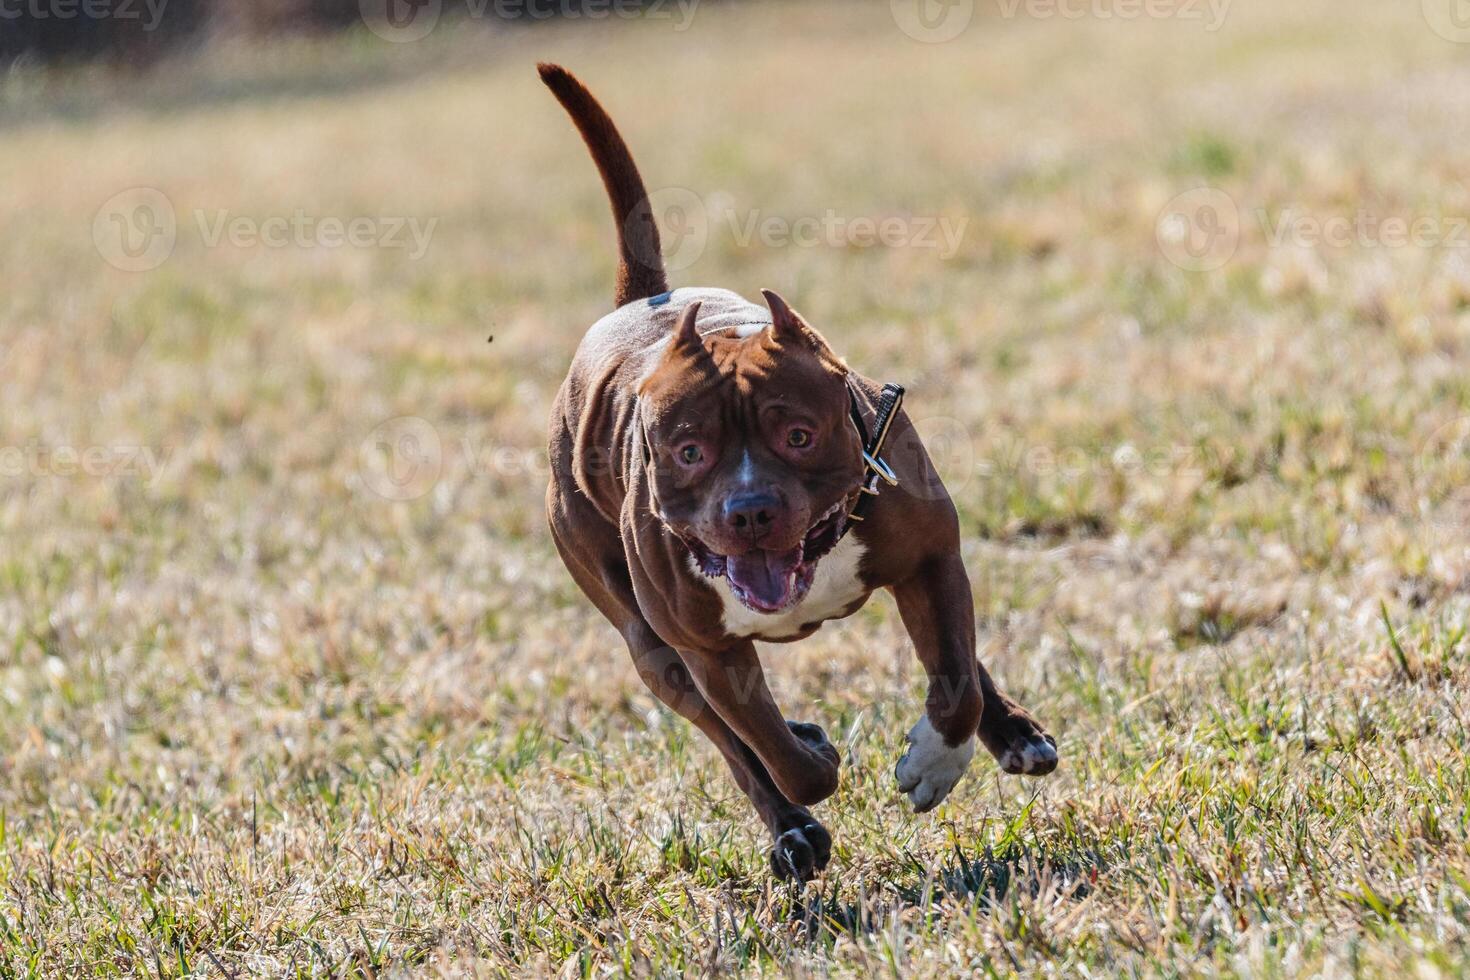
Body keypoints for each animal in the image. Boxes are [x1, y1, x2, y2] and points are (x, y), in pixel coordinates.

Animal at [540, 65, 1058, 887]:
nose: (750, 509)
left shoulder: (933, 557)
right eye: (689, 451)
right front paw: (811, 757)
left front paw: (934, 763)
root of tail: (639, 298)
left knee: (959, 663)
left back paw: (1014, 733)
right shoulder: (709, 652)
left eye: (798, 434)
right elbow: (775, 753)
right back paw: (792, 830)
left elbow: (952, 682)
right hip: (651, 647)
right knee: (733, 745)